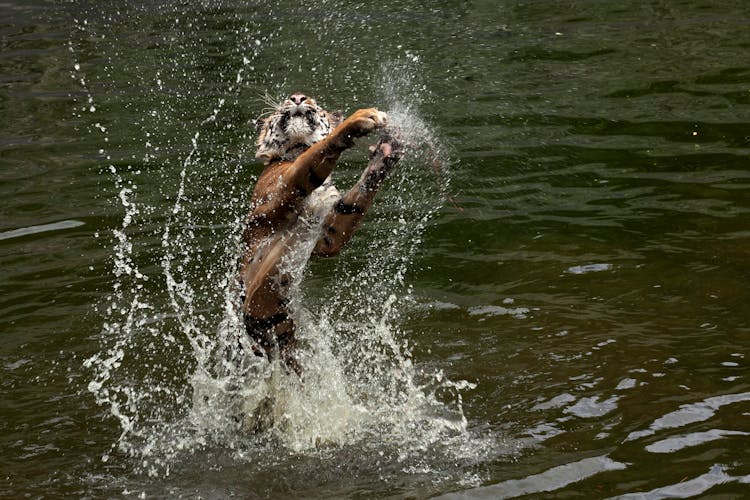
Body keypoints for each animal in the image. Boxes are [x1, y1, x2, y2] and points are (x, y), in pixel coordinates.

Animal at [238, 94, 402, 376]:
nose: (297, 97)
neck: (295, 148)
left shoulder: (327, 233)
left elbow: (354, 203)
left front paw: (386, 152)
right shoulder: (283, 189)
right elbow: (319, 150)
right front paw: (362, 118)